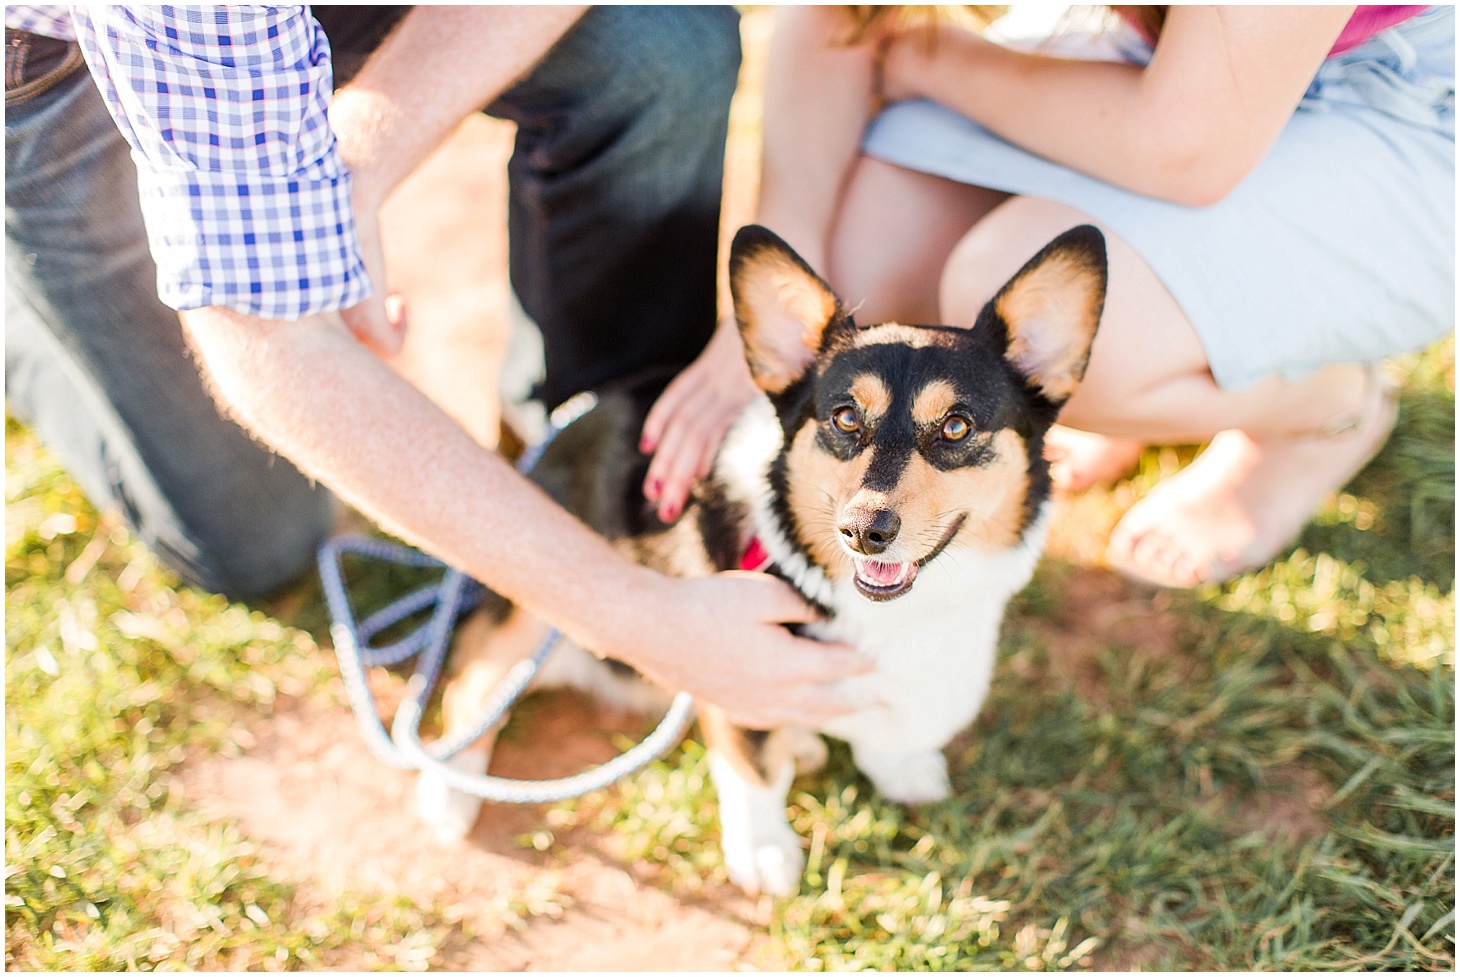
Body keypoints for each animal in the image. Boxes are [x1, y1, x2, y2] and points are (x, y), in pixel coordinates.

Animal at [420, 224, 1103, 893]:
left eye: (957, 427)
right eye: (845, 417)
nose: (863, 531)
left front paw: (900, 769)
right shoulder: (739, 662)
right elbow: (753, 773)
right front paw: (765, 852)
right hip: (535, 613)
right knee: (469, 692)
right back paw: (449, 794)